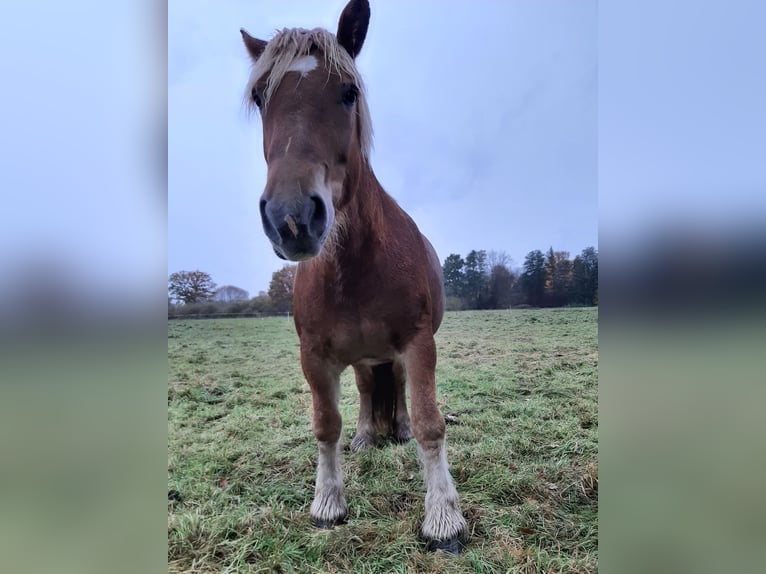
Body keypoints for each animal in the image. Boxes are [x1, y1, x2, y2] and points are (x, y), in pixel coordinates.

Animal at [240, 0, 468, 556]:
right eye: (260, 97)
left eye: (349, 92)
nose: (292, 217)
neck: (354, 266)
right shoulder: (315, 356)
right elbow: (326, 425)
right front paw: (327, 504)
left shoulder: (417, 343)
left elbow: (430, 422)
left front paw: (444, 519)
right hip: (364, 356)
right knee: (367, 390)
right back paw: (367, 435)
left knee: (399, 392)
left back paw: (396, 430)